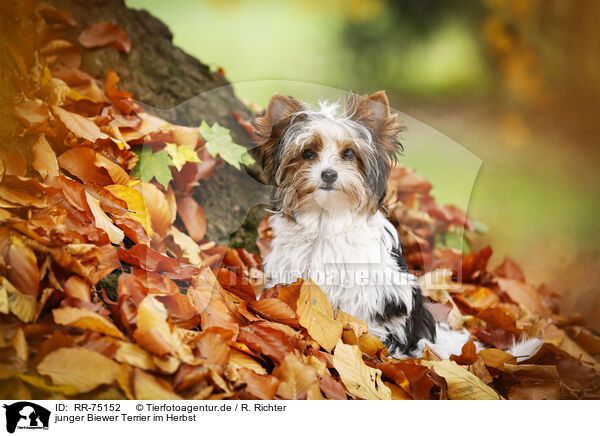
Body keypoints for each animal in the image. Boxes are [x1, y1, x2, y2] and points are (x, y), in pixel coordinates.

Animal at [251, 90, 540, 360]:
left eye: (349, 154)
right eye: (308, 153)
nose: (329, 174)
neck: (327, 216)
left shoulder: (370, 284)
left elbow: (356, 311)